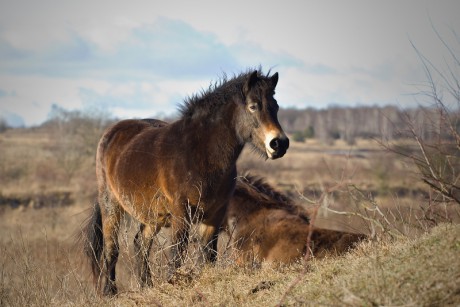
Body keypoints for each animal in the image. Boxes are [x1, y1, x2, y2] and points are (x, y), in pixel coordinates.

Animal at [83, 70, 290, 296]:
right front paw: (174, 284)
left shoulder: (215, 215)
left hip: (153, 216)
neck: (199, 153)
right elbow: (177, 255)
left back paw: (147, 286)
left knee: (140, 244)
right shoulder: (181, 214)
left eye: (275, 106)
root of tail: (112, 132)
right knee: (111, 250)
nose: (279, 143)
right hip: (111, 205)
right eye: (253, 106)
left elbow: (208, 255)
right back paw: (109, 293)